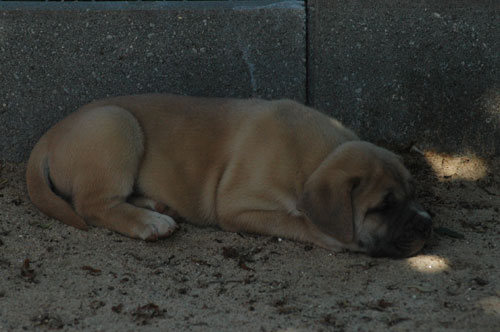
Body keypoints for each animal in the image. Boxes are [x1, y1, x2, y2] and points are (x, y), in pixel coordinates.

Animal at [25, 93, 432, 256]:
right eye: (382, 207)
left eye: (413, 194)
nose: (426, 223)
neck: (319, 157)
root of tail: (49, 135)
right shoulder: (237, 208)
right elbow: (296, 221)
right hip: (117, 124)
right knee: (93, 204)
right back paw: (149, 222)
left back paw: (156, 206)